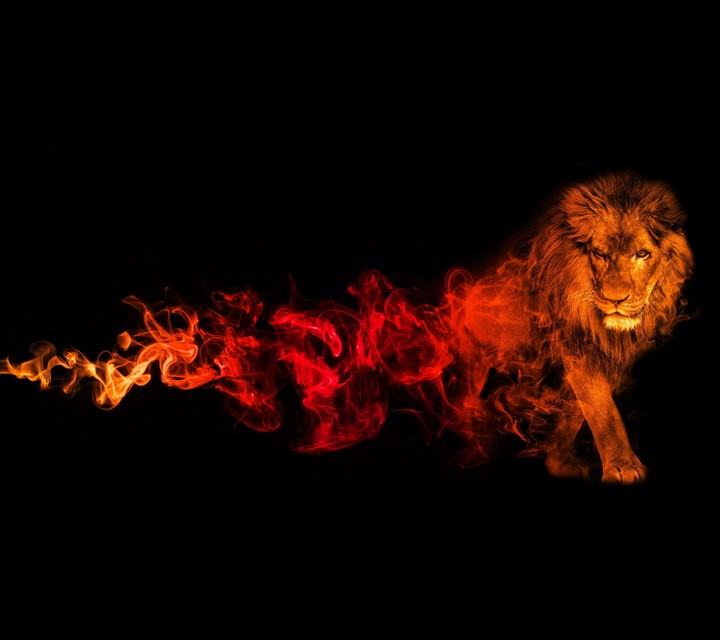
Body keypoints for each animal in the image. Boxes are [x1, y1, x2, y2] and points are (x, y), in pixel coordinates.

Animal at [448, 170, 695, 484]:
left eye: (642, 254)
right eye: (599, 254)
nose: (615, 300)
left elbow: (577, 409)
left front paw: (559, 461)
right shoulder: (577, 345)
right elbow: (603, 409)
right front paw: (623, 467)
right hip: (473, 361)